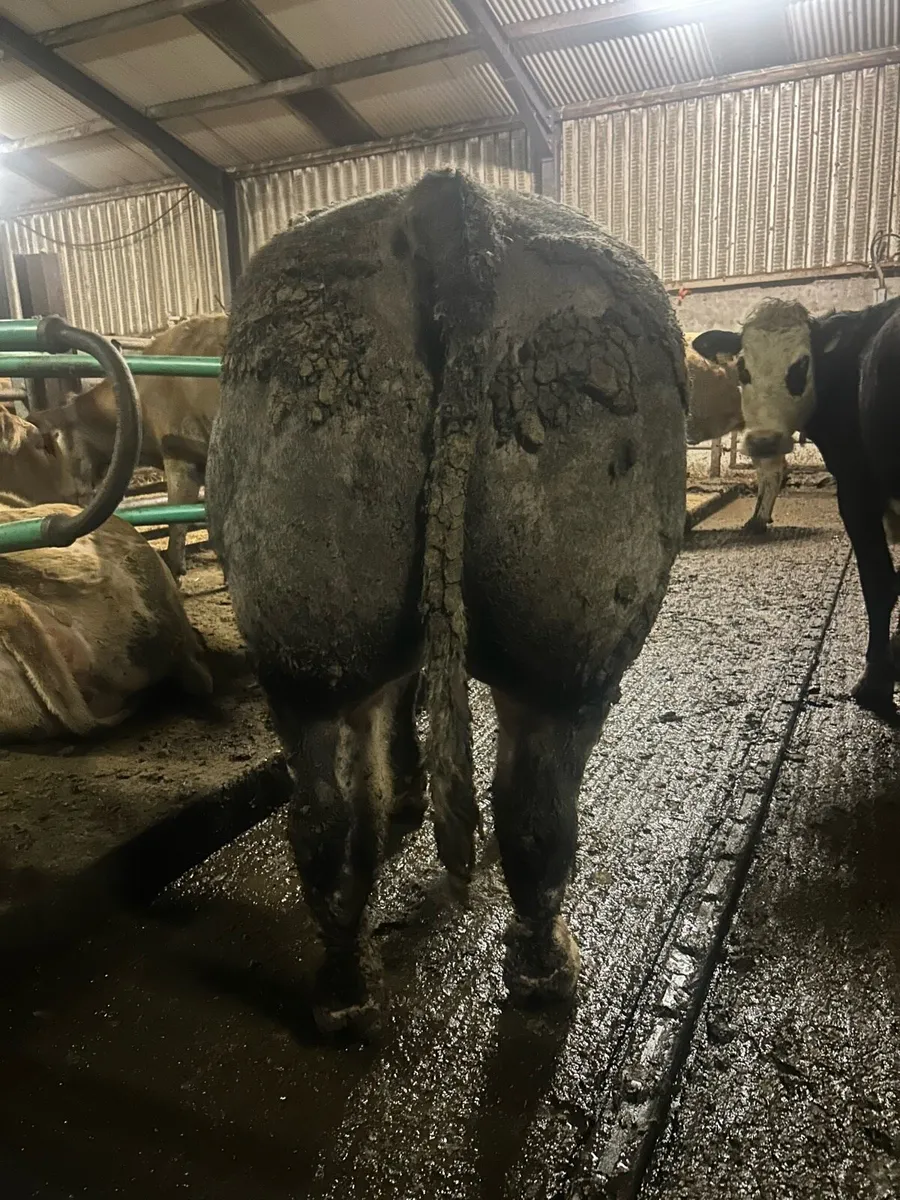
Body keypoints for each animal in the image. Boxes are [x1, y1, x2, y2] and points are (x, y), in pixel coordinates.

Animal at [206, 170, 688, 1036]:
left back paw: (348, 986)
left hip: (324, 642)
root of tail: (447, 199)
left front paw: (402, 792)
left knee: (335, 819)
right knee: (515, 814)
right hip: (552, 657)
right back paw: (537, 971)